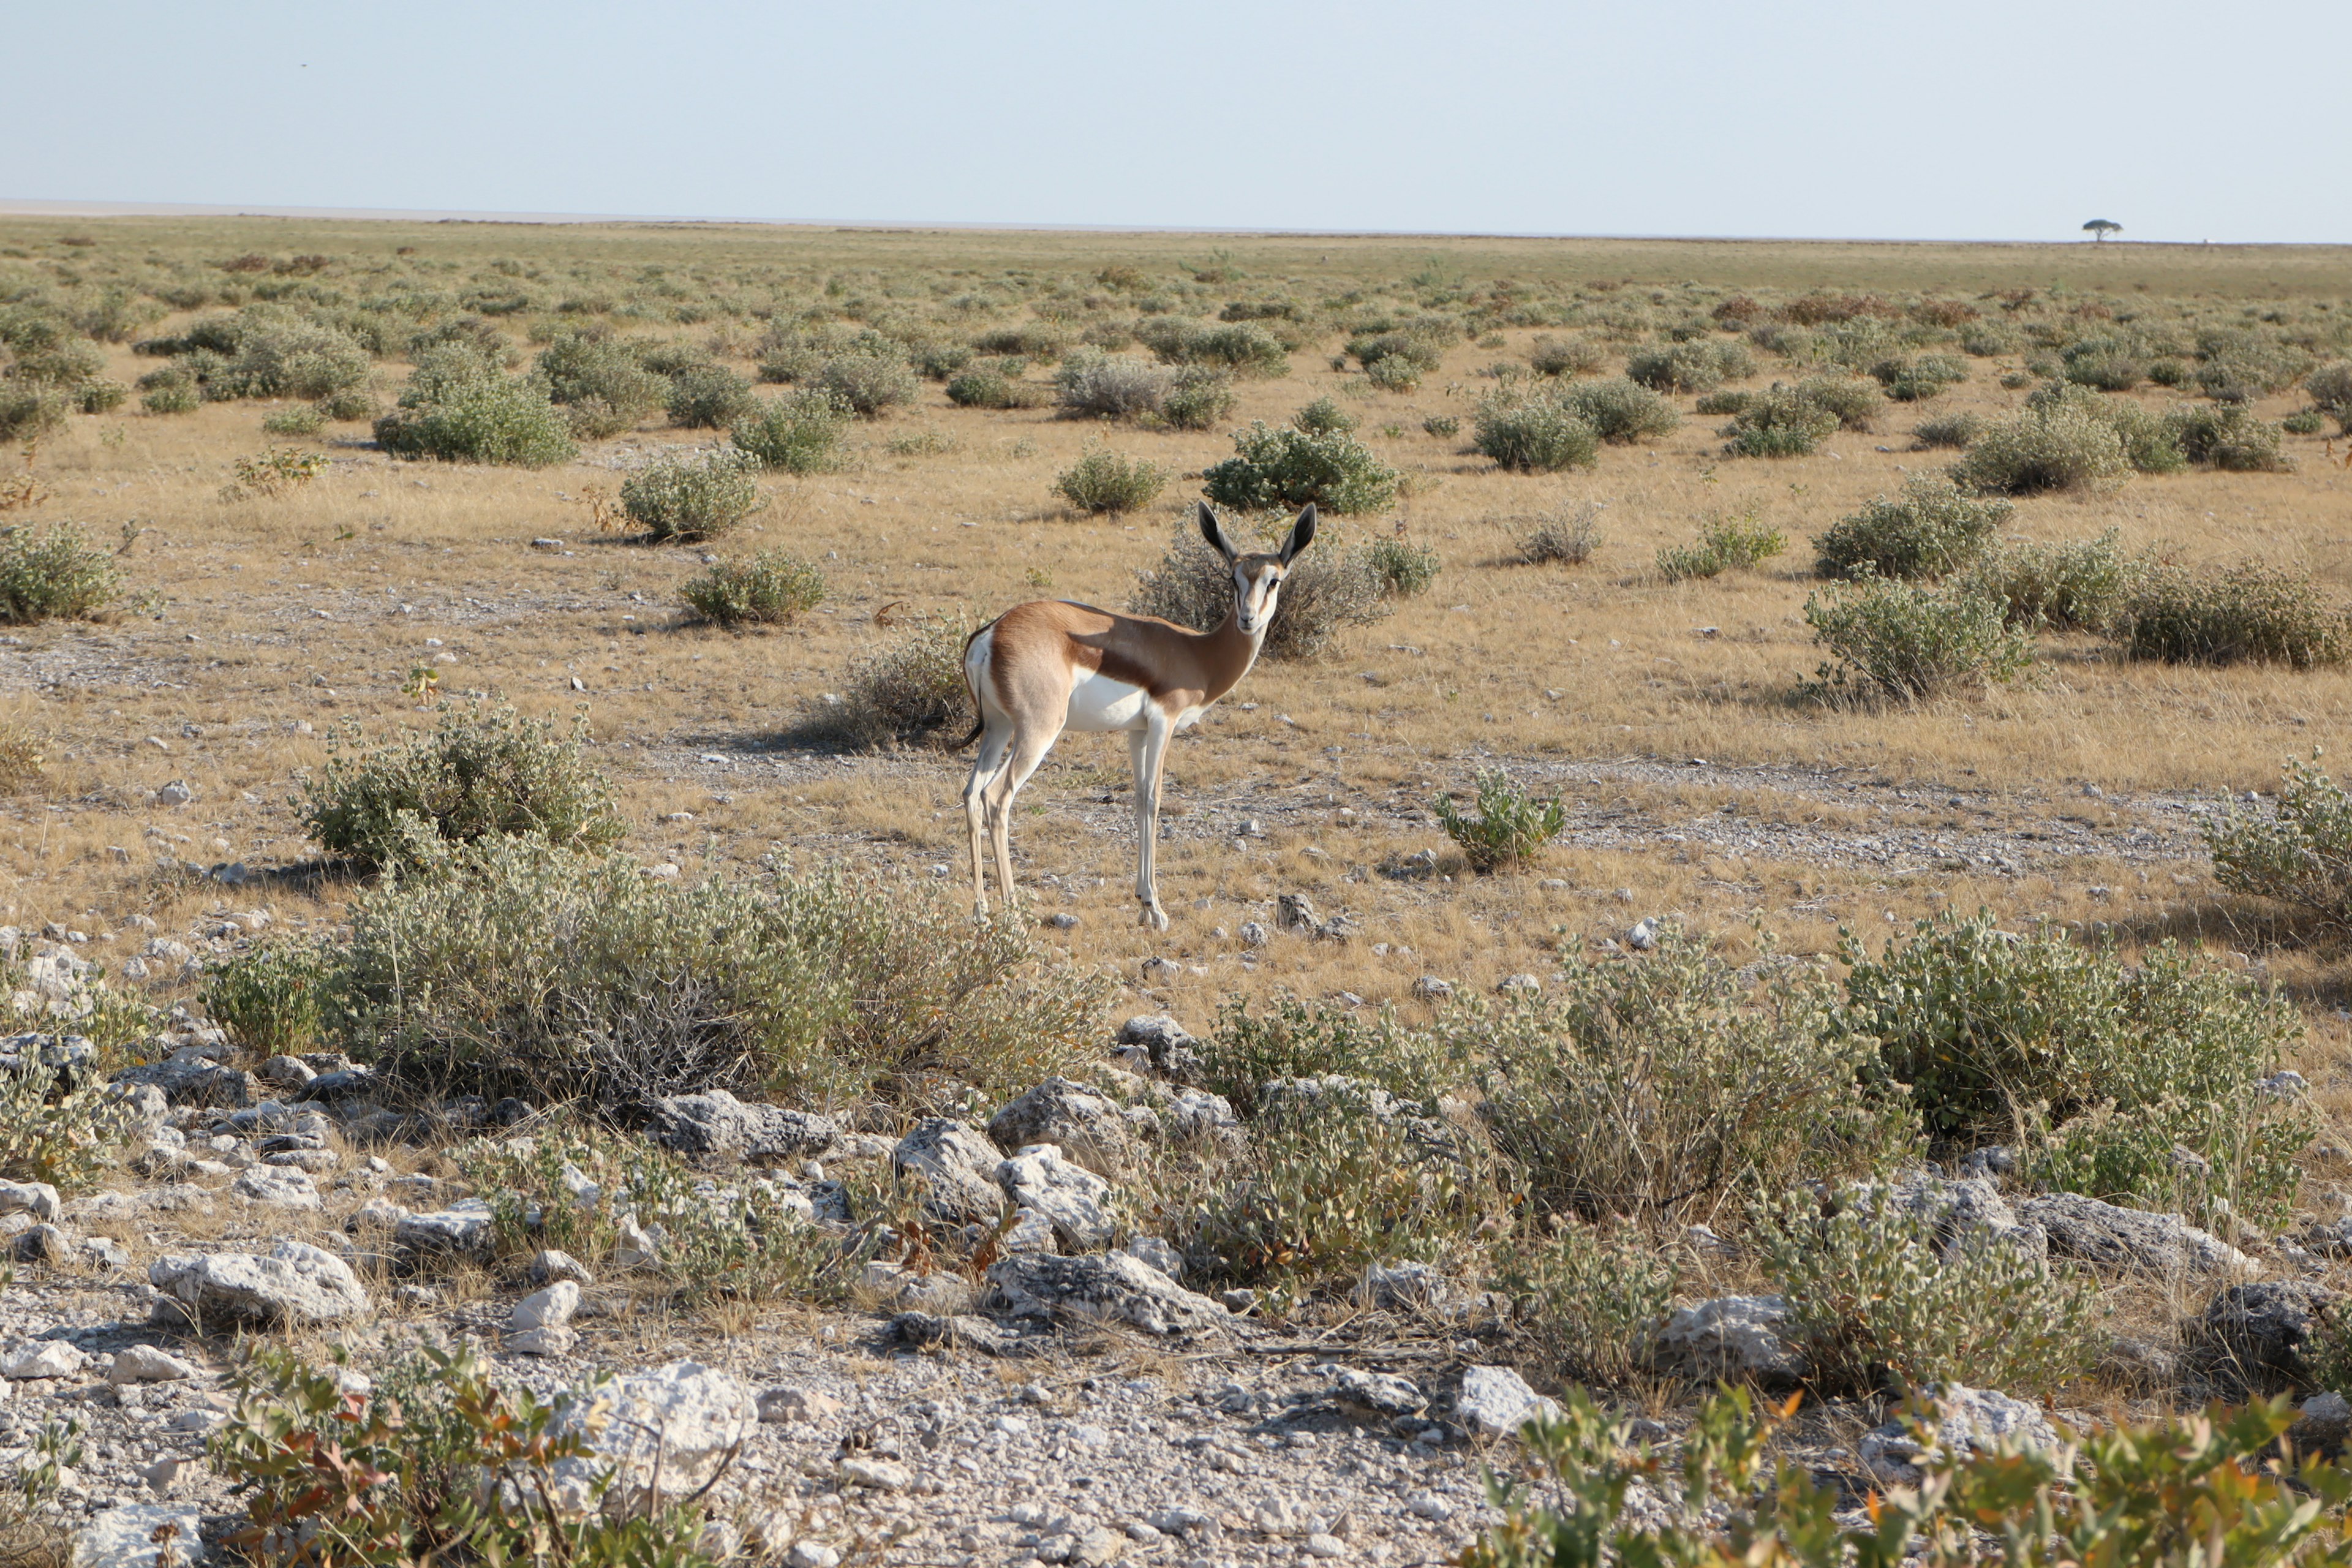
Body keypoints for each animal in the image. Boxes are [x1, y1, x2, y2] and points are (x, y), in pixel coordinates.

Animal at [959, 500, 1326, 930]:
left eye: (1274, 581)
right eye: (1233, 578)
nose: (1248, 618)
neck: (1198, 654)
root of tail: (993, 633)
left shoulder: (1136, 732)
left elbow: (1136, 798)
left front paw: (1142, 904)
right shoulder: (1164, 723)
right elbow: (1154, 798)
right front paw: (1157, 908)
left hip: (999, 728)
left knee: (971, 793)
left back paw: (981, 913)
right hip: (1037, 731)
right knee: (997, 796)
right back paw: (1013, 917)